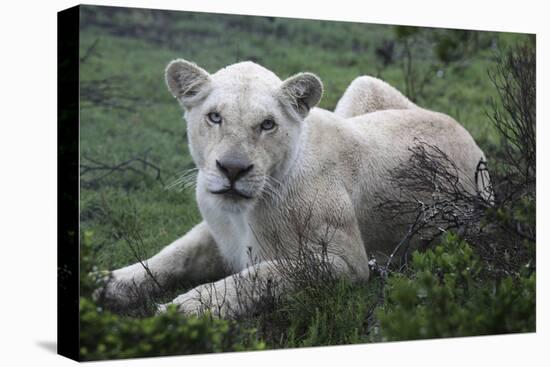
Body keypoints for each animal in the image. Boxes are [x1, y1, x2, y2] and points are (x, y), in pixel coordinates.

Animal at [97, 59, 490, 316]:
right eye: (214, 117)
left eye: (267, 124)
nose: (233, 169)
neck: (244, 212)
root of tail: (463, 130)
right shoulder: (217, 233)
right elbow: (172, 255)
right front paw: (108, 283)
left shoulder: (349, 262)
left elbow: (263, 274)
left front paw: (187, 308)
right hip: (364, 86)